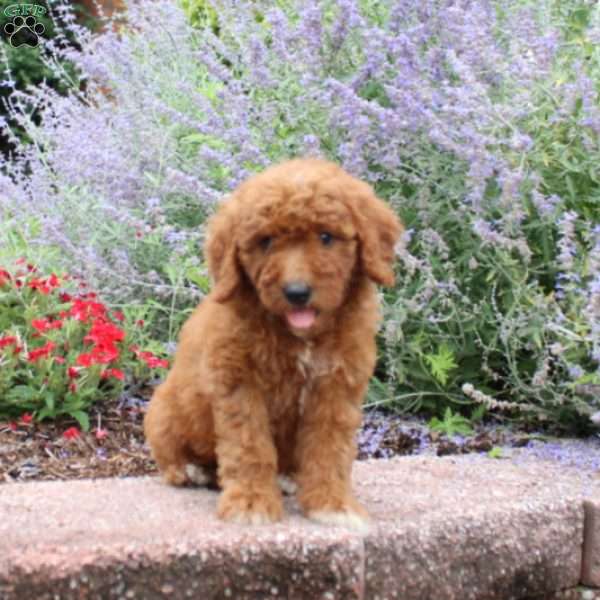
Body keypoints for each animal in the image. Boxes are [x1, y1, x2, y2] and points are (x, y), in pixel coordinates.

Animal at [142, 157, 400, 528]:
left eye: (326, 237)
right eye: (265, 241)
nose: (296, 292)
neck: (300, 337)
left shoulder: (336, 386)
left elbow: (330, 448)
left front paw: (333, 504)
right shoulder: (239, 382)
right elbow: (249, 446)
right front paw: (251, 503)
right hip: (164, 411)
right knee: (170, 452)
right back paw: (190, 470)